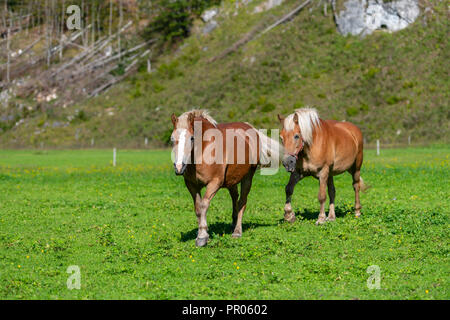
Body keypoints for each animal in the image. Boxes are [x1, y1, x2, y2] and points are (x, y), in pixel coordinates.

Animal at [171, 109, 280, 246]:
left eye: (191, 138)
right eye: (172, 139)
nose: (179, 167)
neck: (204, 149)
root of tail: (252, 129)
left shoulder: (214, 183)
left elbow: (203, 205)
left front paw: (202, 237)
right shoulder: (191, 185)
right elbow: (197, 208)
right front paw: (200, 234)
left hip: (247, 177)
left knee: (242, 202)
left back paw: (237, 232)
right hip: (232, 180)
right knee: (235, 198)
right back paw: (233, 224)